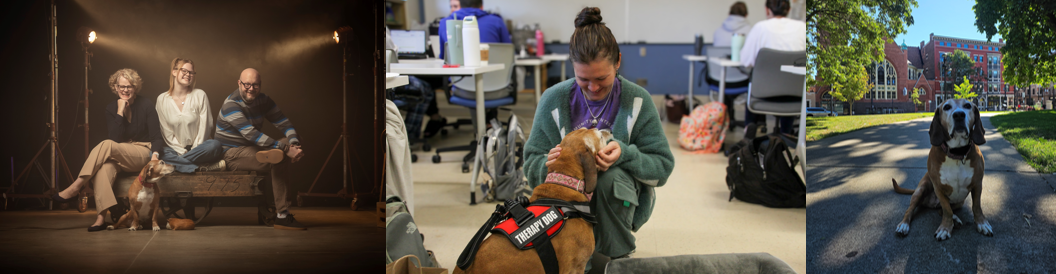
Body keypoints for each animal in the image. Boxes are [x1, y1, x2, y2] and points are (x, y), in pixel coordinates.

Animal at [891, 98, 988, 241]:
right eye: (946, 107)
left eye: (967, 105)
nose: (959, 115)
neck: (957, 153)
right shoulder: (939, 189)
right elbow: (947, 210)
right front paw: (945, 228)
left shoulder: (977, 184)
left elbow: (976, 206)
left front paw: (982, 223)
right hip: (920, 191)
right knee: (911, 210)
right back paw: (903, 225)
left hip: (959, 202)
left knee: (940, 210)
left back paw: (955, 220)